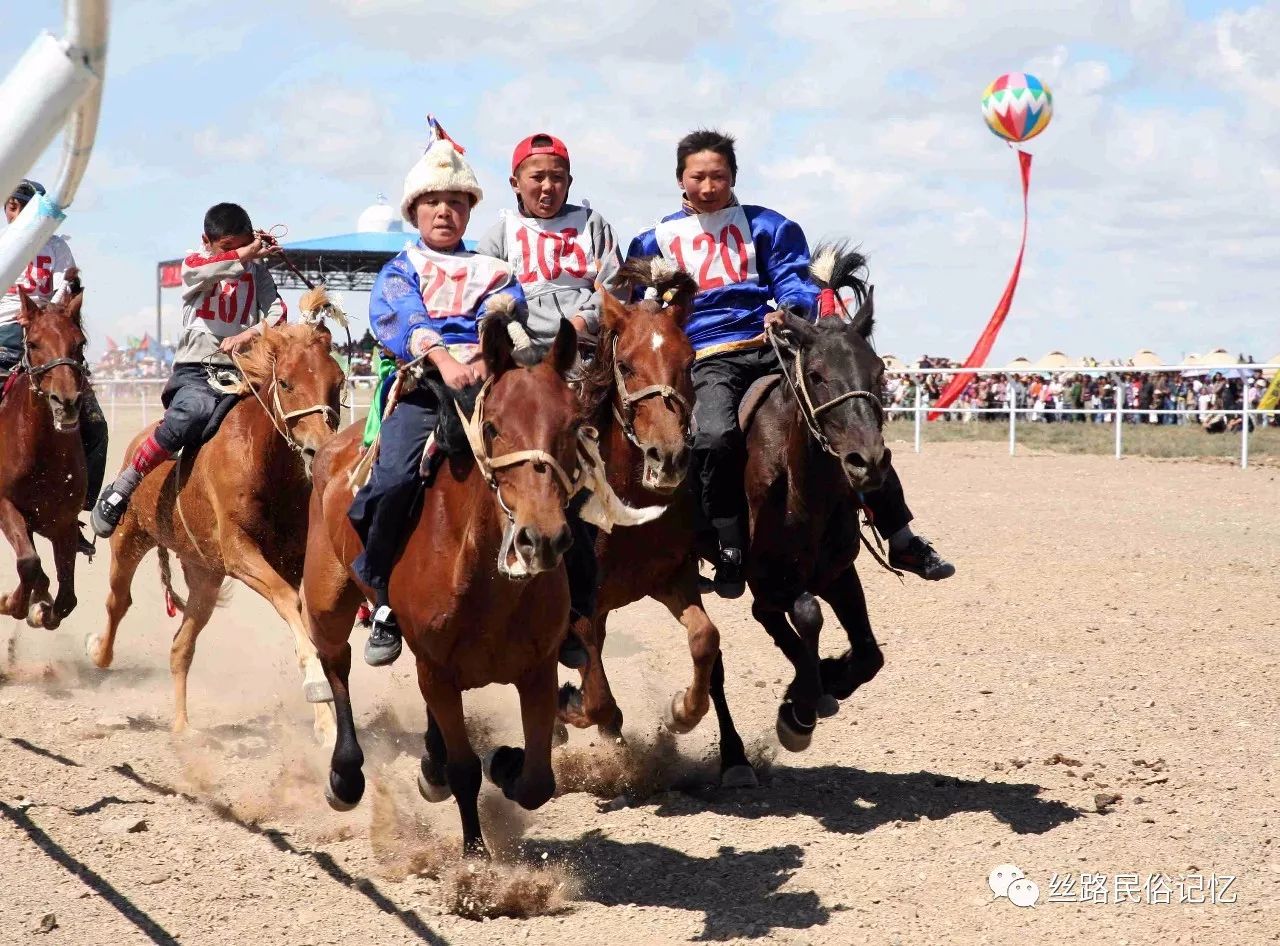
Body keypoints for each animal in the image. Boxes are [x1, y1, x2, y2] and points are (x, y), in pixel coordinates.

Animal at [0, 288, 88, 629]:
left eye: (80, 343)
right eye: (34, 343)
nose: (67, 402)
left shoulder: (63, 522)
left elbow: (68, 599)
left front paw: (42, 610)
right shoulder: (5, 504)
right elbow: (28, 562)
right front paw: (12, 603)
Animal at [85, 323, 348, 742]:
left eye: (337, 381)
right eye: (286, 382)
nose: (317, 450)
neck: (260, 460)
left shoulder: (291, 560)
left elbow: (300, 611)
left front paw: (325, 721)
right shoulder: (240, 553)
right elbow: (287, 600)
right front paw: (317, 689)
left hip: (204, 576)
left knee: (180, 648)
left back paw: (182, 726)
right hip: (131, 540)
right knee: (118, 601)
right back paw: (99, 650)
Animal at [303, 311, 645, 860]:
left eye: (573, 425)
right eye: (492, 426)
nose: (540, 538)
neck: (486, 583)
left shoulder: (536, 669)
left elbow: (538, 780)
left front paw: (505, 763)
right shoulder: (439, 672)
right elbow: (466, 770)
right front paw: (475, 858)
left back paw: (431, 762)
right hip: (327, 600)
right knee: (337, 665)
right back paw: (346, 774)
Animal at [552, 254, 752, 788]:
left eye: (689, 362)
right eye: (625, 364)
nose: (669, 459)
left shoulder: (671, 578)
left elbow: (705, 639)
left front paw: (681, 710)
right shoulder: (582, 606)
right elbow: (599, 697)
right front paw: (574, 709)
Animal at [747, 244, 885, 752]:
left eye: (879, 371)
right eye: (817, 374)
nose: (868, 460)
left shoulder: (837, 571)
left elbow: (869, 656)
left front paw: (829, 679)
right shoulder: (765, 576)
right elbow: (805, 615)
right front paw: (800, 708)